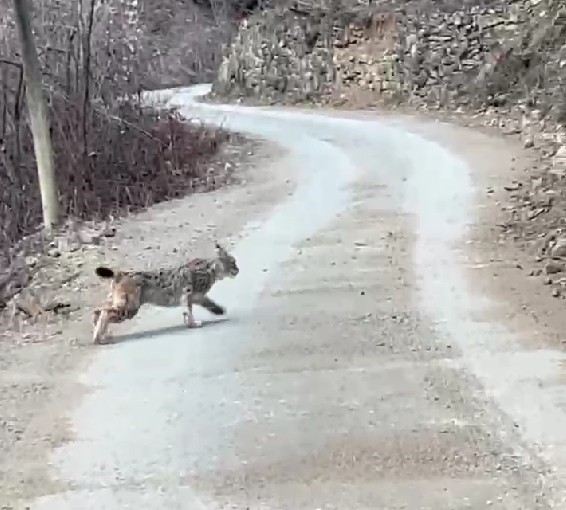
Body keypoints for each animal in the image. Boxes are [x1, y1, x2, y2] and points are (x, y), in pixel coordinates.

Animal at [90, 242, 240, 344]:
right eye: (233, 262)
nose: (238, 270)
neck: (213, 269)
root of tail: (121, 273)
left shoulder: (196, 296)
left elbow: (208, 303)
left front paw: (219, 310)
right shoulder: (187, 294)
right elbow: (189, 310)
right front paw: (193, 324)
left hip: (119, 301)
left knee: (98, 310)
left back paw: (102, 334)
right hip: (131, 306)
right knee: (105, 312)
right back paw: (99, 338)